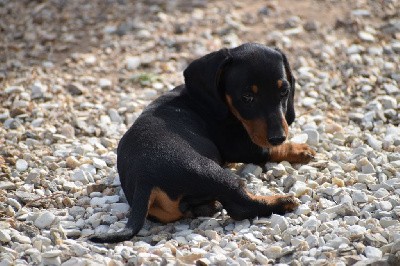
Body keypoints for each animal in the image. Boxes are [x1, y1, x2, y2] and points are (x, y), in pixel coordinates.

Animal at [90, 42, 316, 243]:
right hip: (212, 171)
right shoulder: (238, 145)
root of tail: (144, 180)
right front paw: (300, 149)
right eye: (247, 97)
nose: (278, 137)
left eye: (284, 91)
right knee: (241, 205)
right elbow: (265, 150)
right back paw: (283, 201)